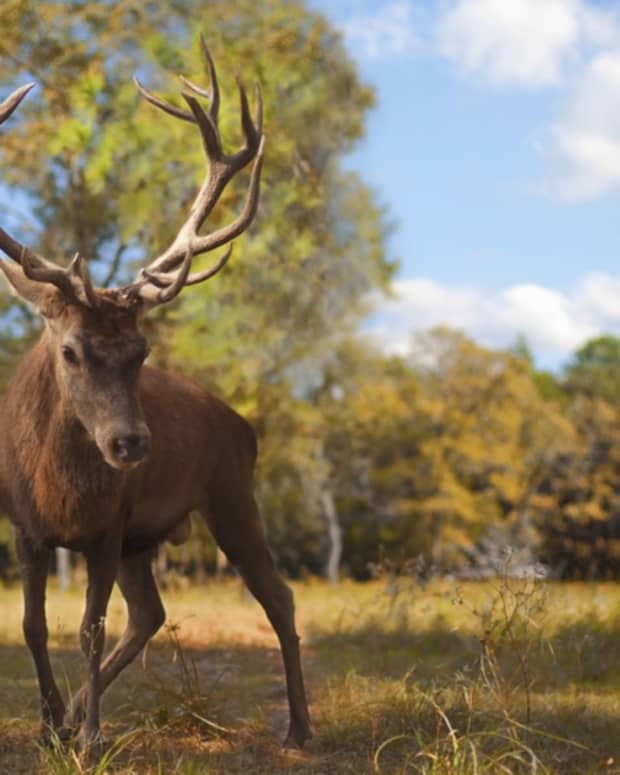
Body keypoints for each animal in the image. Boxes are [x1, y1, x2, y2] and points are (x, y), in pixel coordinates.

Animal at [0, 39, 310, 760]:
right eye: (71, 350)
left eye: (141, 350)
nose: (131, 444)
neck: (59, 494)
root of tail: (244, 424)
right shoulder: (25, 527)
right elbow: (31, 625)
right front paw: (52, 727)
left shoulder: (111, 524)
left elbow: (87, 627)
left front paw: (89, 739)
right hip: (152, 537)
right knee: (151, 614)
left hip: (231, 493)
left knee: (278, 596)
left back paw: (299, 726)